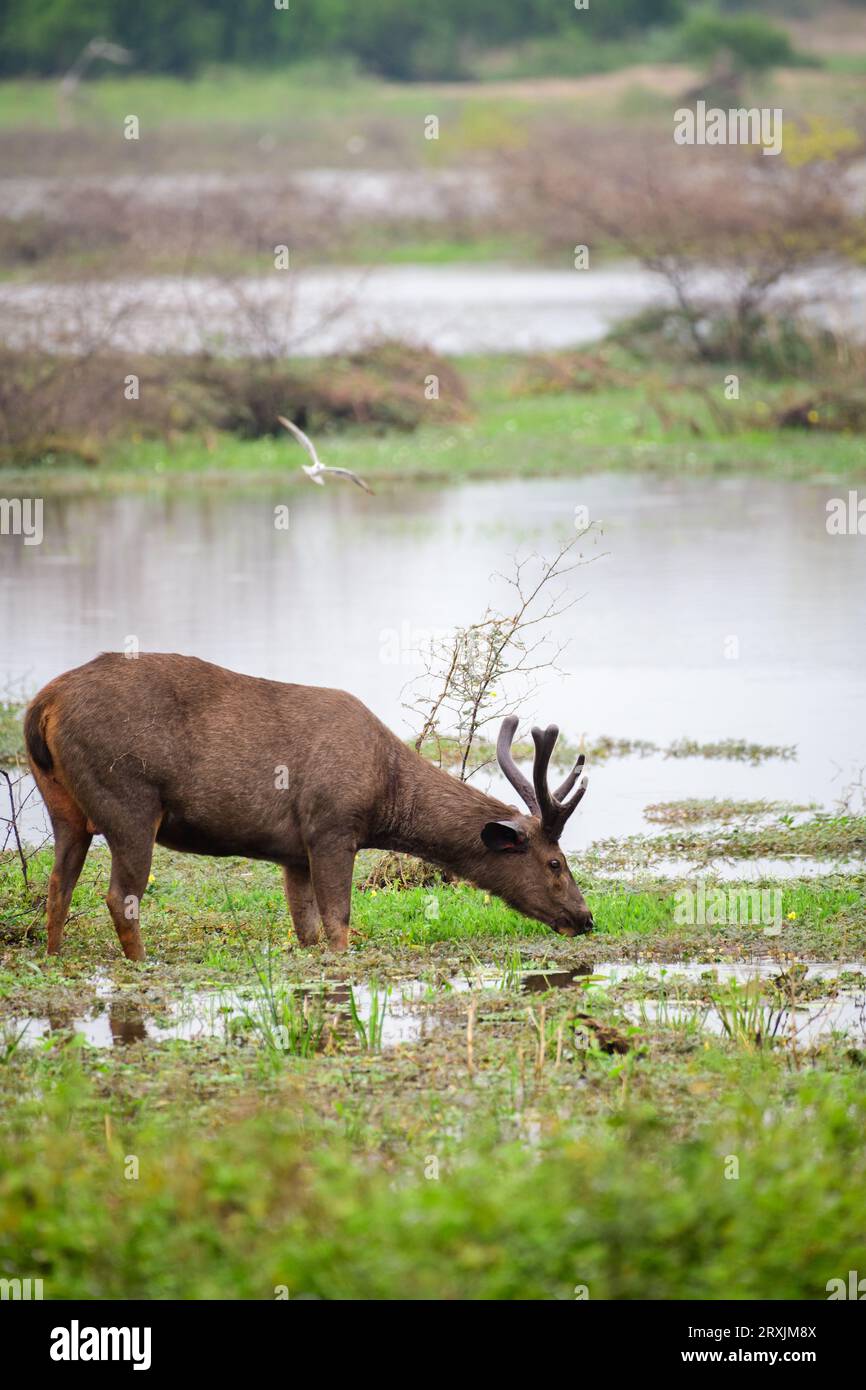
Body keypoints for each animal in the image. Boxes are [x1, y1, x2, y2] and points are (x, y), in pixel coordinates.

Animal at [27, 650, 594, 956]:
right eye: (555, 862)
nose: (586, 918)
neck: (386, 794)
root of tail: (42, 704)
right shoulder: (332, 827)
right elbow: (338, 923)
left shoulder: (293, 852)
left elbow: (307, 930)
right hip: (128, 798)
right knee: (119, 896)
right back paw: (141, 964)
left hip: (63, 805)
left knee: (58, 885)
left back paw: (55, 957)